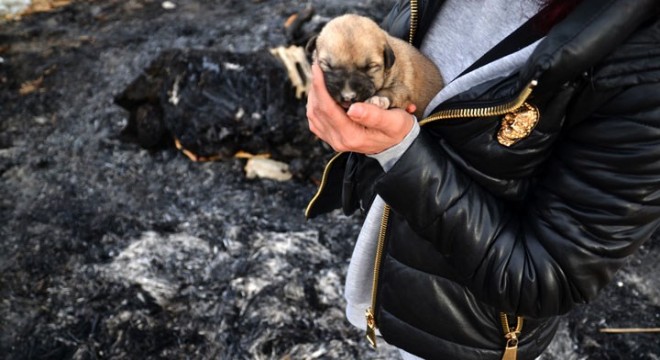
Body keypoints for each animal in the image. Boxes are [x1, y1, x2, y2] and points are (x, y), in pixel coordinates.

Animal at [308, 13, 444, 118]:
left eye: (370, 67)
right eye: (328, 65)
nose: (348, 97)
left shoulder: (403, 88)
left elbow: (392, 91)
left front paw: (377, 99)